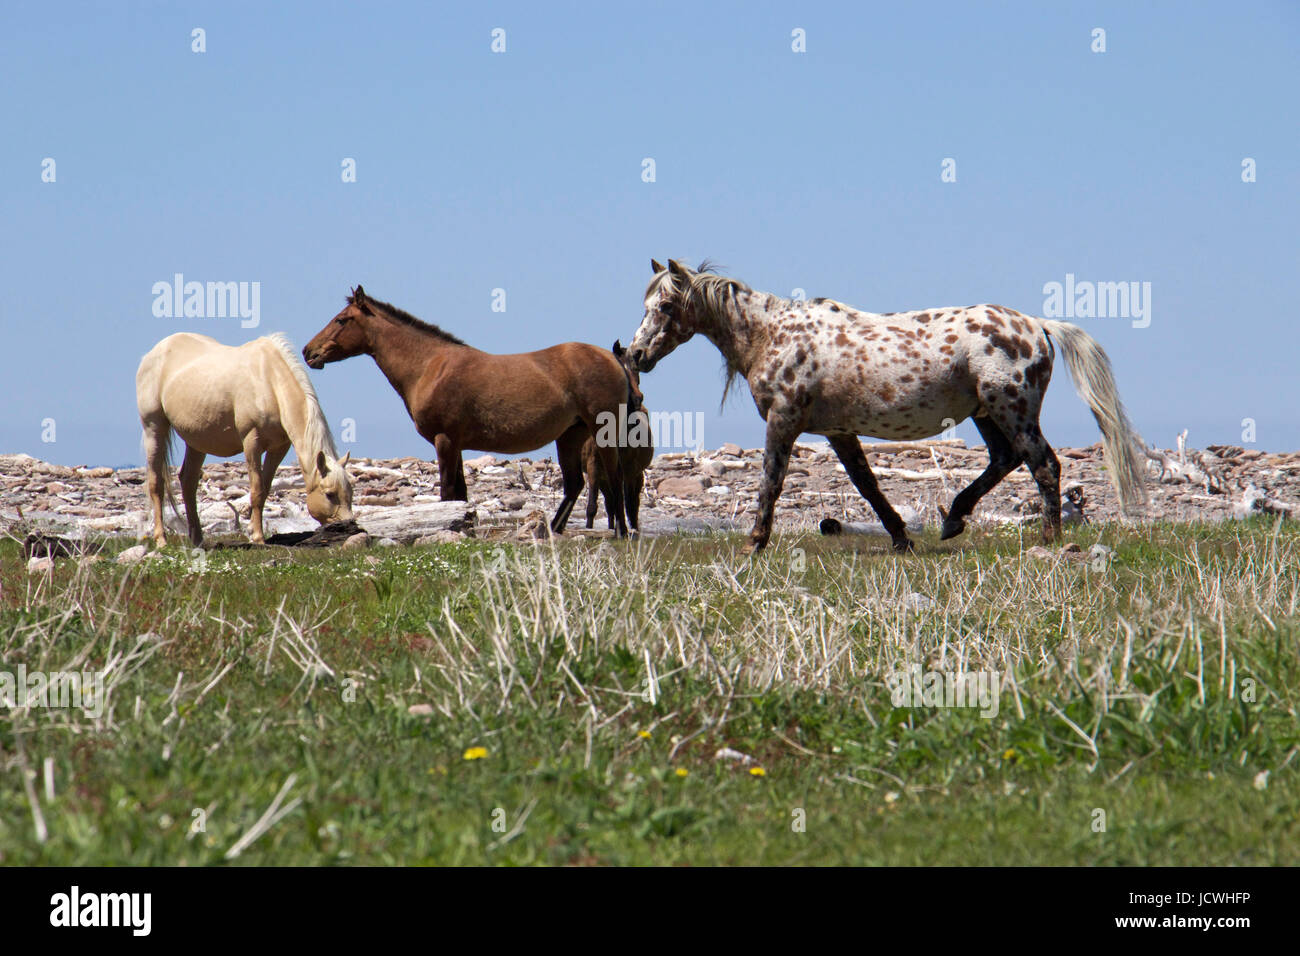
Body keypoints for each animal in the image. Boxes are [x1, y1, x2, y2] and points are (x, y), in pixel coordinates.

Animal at [135, 332, 354, 548]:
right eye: (329, 494)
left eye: (350, 491)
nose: (349, 526)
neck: (270, 381)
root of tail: (153, 353)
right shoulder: (252, 442)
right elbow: (256, 489)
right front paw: (257, 536)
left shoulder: (279, 448)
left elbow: (265, 488)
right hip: (154, 428)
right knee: (156, 483)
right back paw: (161, 539)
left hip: (197, 440)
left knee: (188, 481)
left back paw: (197, 540)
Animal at [302, 286, 636, 537]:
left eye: (342, 320)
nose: (309, 352)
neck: (429, 366)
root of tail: (612, 359)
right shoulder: (457, 445)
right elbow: (460, 495)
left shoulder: (445, 440)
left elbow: (449, 493)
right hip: (570, 435)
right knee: (575, 484)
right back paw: (553, 530)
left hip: (602, 431)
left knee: (614, 477)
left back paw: (621, 532)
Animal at [583, 341, 654, 532]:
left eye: (637, 371)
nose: (637, 399)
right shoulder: (594, 466)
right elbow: (593, 506)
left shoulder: (627, 469)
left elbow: (626, 504)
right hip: (605, 478)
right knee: (611, 503)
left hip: (634, 474)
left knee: (630, 504)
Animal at [625, 259, 1148, 554]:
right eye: (646, 304)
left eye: (666, 306)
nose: (635, 355)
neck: (772, 335)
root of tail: (1037, 325)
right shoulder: (838, 431)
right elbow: (868, 485)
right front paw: (901, 538)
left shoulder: (784, 421)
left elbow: (771, 480)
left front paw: (755, 543)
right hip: (986, 414)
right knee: (1006, 459)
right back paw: (953, 520)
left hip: (1012, 410)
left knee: (1043, 465)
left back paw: (1049, 540)